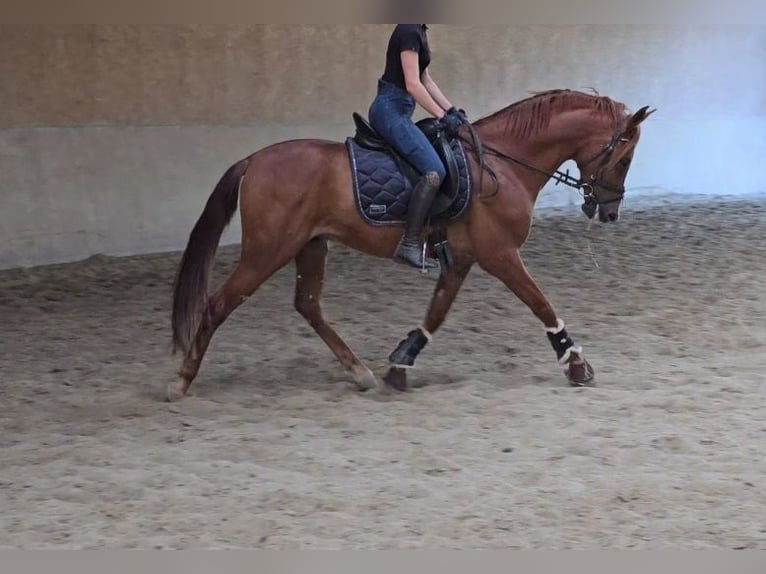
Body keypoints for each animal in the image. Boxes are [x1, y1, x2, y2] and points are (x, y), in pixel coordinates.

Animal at [171, 91, 656, 404]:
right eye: (625, 159)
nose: (609, 212)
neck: (501, 164)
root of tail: (253, 160)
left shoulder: (461, 260)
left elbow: (436, 314)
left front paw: (399, 366)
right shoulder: (499, 255)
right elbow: (541, 303)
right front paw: (576, 364)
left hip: (310, 246)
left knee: (308, 305)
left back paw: (360, 373)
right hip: (266, 251)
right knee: (217, 305)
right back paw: (181, 382)